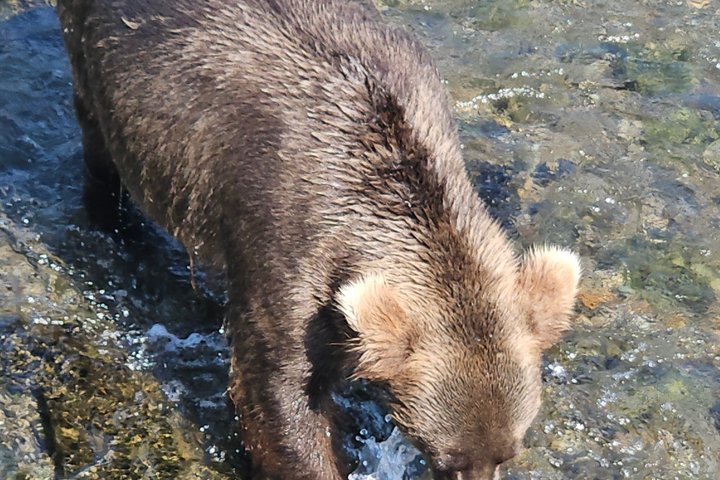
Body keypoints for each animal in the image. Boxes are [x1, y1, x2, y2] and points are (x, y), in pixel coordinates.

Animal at [56, 0, 581, 479]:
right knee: (96, 137)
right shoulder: (282, 239)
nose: (480, 466)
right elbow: (279, 390)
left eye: (506, 453)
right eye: (444, 456)